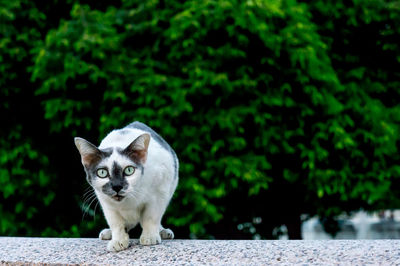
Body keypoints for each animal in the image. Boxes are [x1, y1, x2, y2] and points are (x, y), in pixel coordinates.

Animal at [75, 121, 178, 250]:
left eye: (129, 170)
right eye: (102, 173)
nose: (117, 186)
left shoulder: (159, 192)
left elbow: (151, 217)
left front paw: (150, 237)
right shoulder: (104, 201)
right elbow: (116, 223)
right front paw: (118, 241)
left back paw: (162, 231)